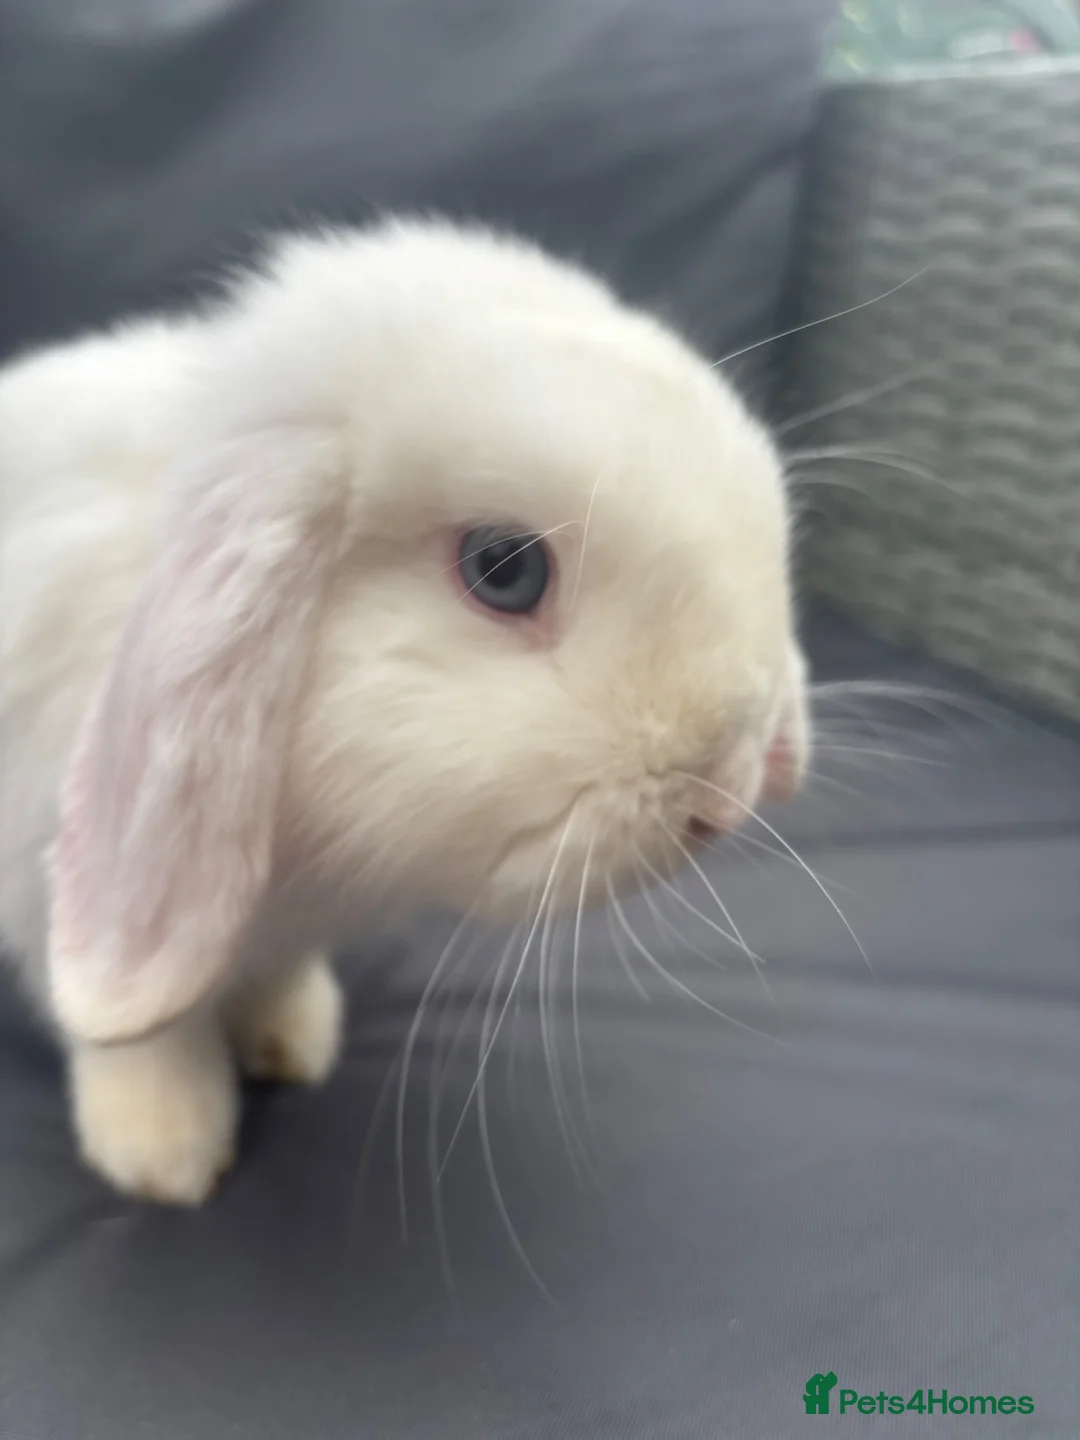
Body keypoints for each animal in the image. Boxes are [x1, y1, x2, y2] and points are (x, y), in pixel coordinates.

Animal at [0, 217, 809, 1205]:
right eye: (505, 569)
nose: (726, 796)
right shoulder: (48, 885)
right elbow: (143, 1042)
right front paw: (165, 1157)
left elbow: (273, 980)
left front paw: (294, 1042)